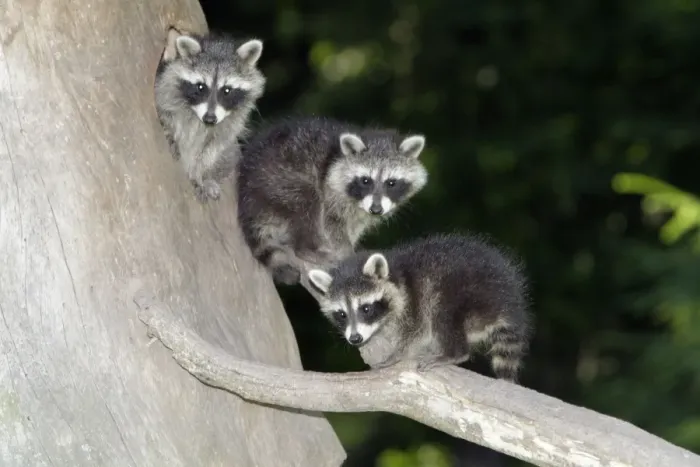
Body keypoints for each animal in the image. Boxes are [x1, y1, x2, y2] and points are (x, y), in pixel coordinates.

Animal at [154, 27, 266, 202]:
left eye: (226, 90)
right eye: (201, 87)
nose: (210, 119)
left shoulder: (230, 124)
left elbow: (212, 148)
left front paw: (198, 175)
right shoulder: (165, 88)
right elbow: (165, 114)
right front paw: (168, 131)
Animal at [236, 116, 429, 285]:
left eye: (391, 183)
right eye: (366, 180)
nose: (376, 210)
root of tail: (247, 197)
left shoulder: (361, 214)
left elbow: (354, 227)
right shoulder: (330, 190)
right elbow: (332, 223)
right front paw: (346, 254)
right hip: (279, 181)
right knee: (307, 201)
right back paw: (307, 248)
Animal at [307, 233, 532, 383]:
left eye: (366, 309)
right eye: (341, 314)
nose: (355, 338)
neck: (397, 275)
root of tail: (508, 302)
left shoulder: (415, 300)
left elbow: (416, 330)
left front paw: (397, 354)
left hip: (466, 292)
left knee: (442, 313)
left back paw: (454, 352)